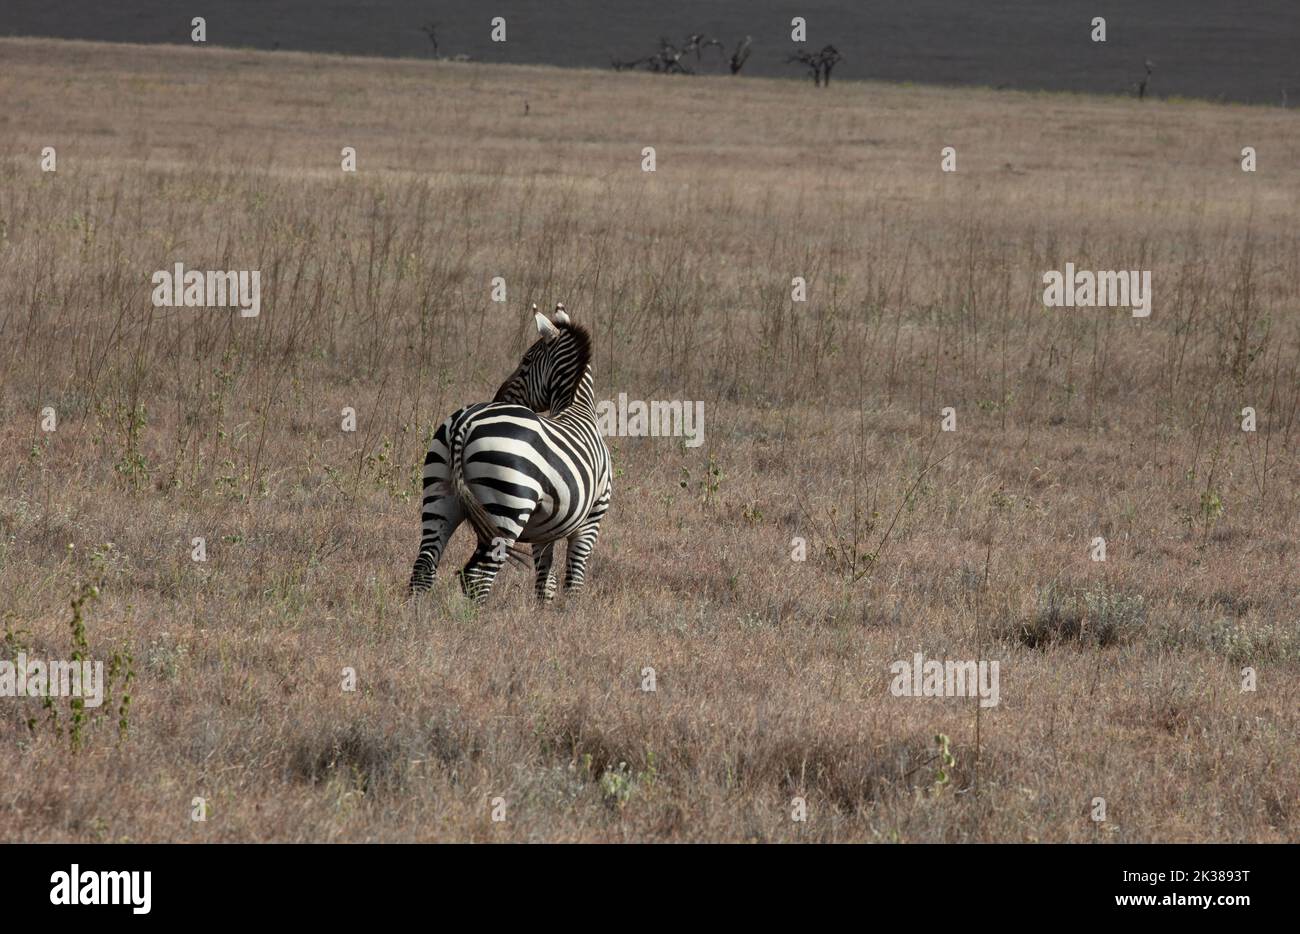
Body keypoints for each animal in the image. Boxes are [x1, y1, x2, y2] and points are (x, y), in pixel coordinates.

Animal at [408, 303, 611, 603]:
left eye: (526, 361)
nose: (498, 397)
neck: (577, 408)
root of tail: (465, 422)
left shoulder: (546, 528)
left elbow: (546, 579)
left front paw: (543, 610)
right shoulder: (591, 520)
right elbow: (573, 579)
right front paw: (570, 610)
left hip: (440, 493)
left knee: (424, 565)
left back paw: (414, 613)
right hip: (508, 506)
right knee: (478, 574)